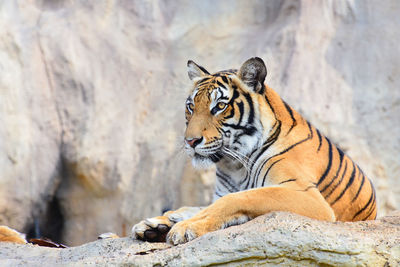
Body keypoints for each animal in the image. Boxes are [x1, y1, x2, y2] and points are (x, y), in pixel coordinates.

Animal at [132, 57, 378, 246]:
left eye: (219, 106)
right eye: (191, 107)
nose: (190, 141)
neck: (234, 165)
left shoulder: (308, 196)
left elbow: (237, 198)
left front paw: (184, 227)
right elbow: (203, 205)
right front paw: (156, 224)